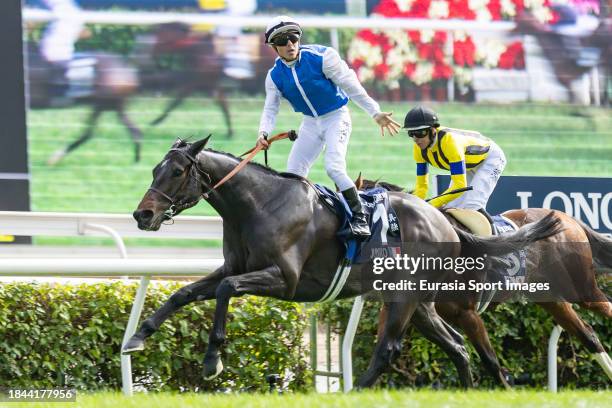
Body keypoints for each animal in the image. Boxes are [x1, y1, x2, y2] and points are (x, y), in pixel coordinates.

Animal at [119, 136, 560, 386]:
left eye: (177, 171)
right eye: (156, 168)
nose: (142, 214)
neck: (258, 204)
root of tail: (446, 223)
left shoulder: (284, 279)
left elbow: (226, 291)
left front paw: (213, 360)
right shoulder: (235, 267)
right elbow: (183, 294)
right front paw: (138, 336)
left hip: (404, 297)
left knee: (389, 348)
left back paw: (356, 390)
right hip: (417, 302)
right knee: (456, 346)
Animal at [358, 179, 612, 388]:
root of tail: (568, 218)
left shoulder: (466, 312)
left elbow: (489, 361)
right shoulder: (406, 306)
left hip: (581, 287)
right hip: (550, 299)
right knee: (588, 335)